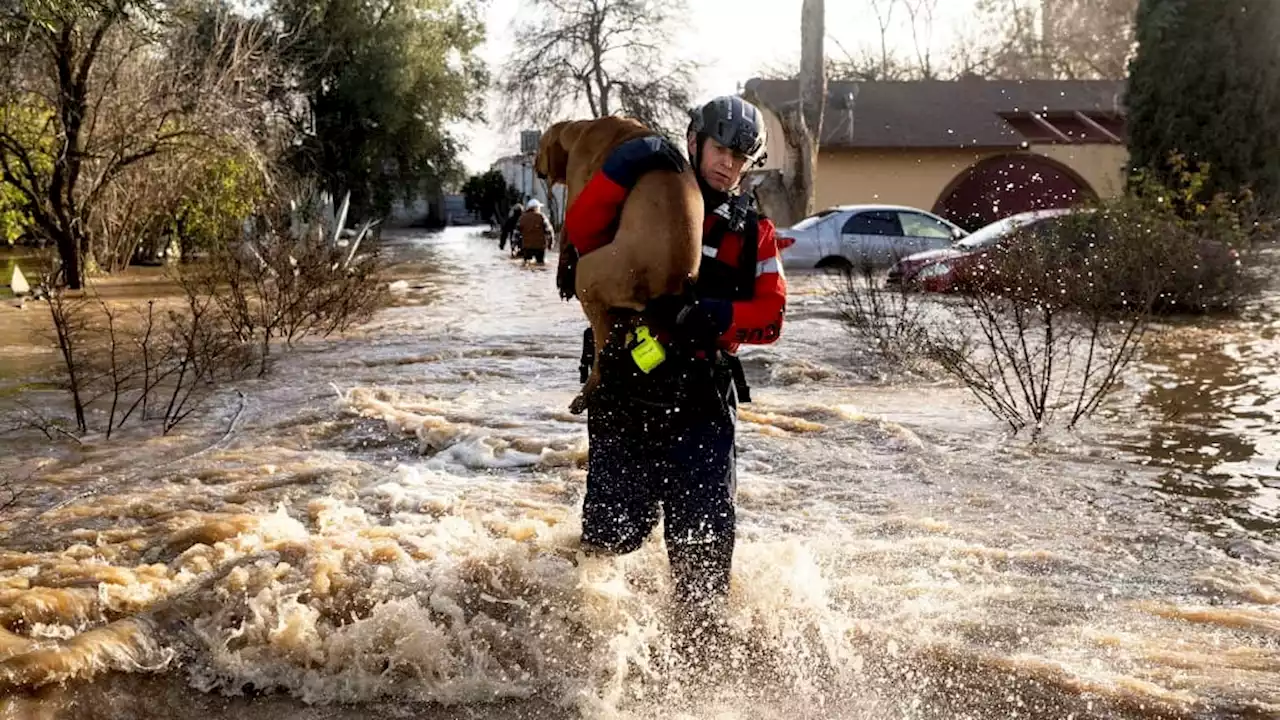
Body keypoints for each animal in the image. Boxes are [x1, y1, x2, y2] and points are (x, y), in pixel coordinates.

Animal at [535, 115, 706, 412]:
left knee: (604, 347)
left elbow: (570, 228)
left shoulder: (577, 185)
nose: (533, 164)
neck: (582, 128)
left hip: (591, 275)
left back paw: (586, 394)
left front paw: (562, 273)